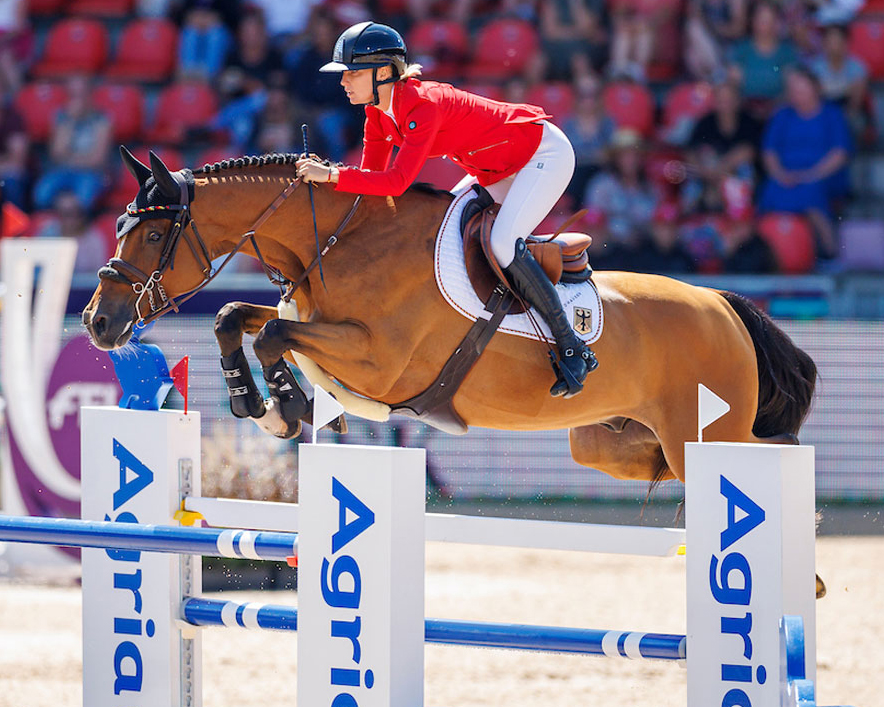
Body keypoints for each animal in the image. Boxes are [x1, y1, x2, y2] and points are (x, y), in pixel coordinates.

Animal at [83, 149, 816, 486]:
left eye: (154, 235)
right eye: (118, 226)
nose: (97, 322)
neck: (339, 239)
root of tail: (723, 304)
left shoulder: (377, 360)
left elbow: (274, 332)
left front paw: (284, 407)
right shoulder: (320, 323)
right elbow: (237, 315)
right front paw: (257, 403)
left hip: (701, 434)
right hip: (615, 441)